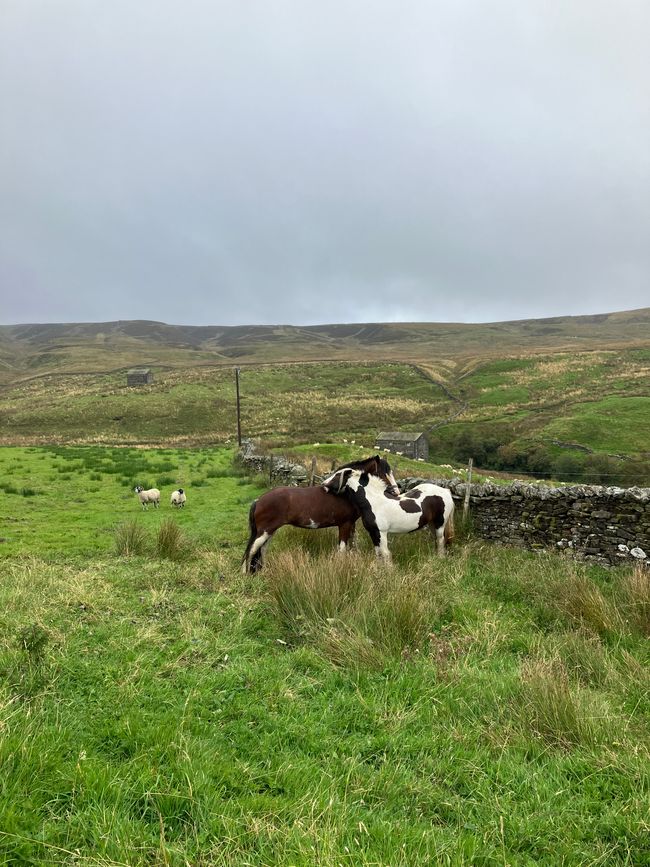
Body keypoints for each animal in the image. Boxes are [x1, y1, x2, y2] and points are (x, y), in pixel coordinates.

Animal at [240, 458, 398, 572]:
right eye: (384, 473)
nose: (396, 492)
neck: (346, 492)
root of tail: (259, 500)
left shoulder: (351, 524)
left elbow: (352, 546)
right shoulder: (344, 524)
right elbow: (342, 549)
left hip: (269, 531)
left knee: (261, 550)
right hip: (264, 531)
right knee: (251, 551)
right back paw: (245, 574)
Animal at [320, 468, 454, 564]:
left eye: (338, 475)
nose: (323, 484)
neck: (374, 501)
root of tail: (446, 491)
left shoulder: (382, 532)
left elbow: (385, 553)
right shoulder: (373, 532)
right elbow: (378, 553)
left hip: (440, 524)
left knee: (440, 541)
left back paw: (440, 560)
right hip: (432, 524)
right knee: (437, 541)